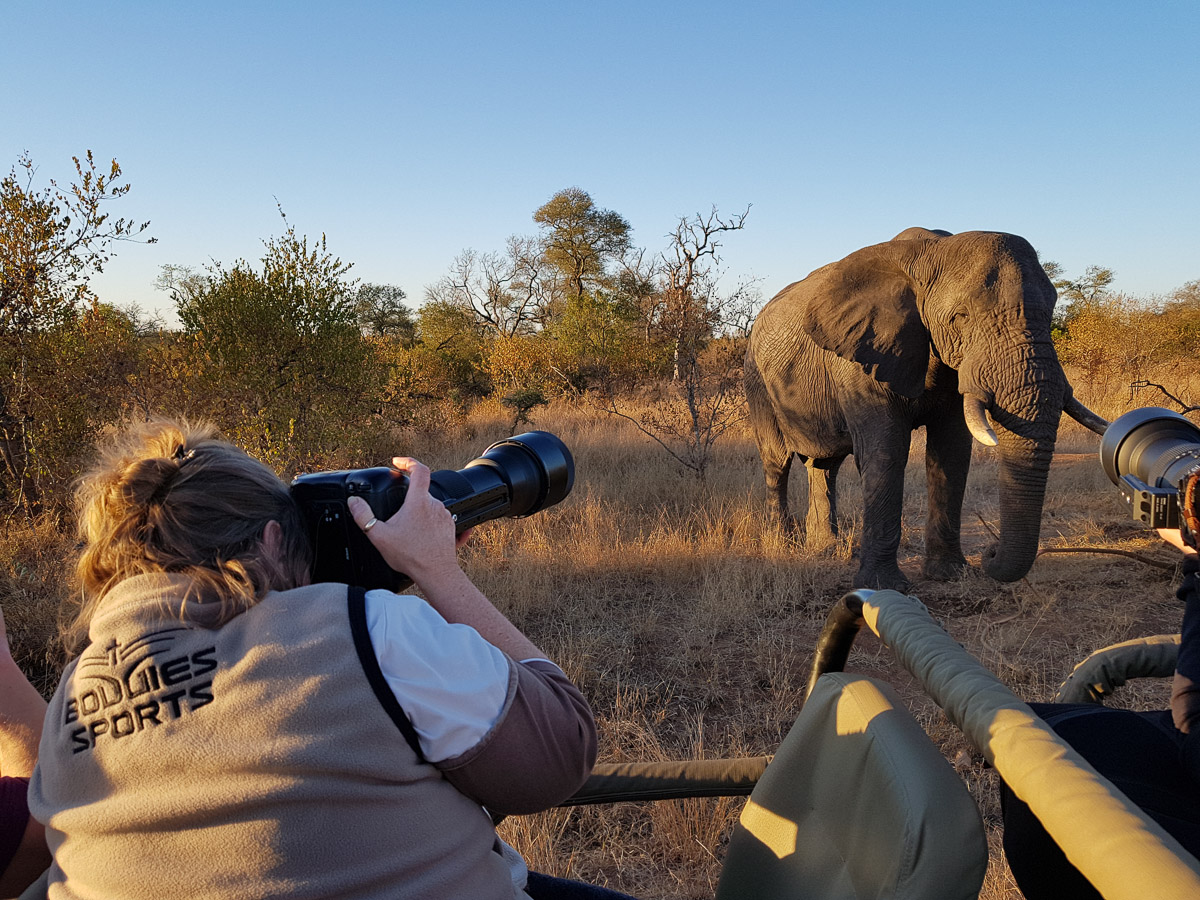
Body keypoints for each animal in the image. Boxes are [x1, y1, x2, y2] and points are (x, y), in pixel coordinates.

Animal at [744, 225, 1108, 592]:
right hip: (757, 381)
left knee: (825, 465)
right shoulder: (859, 361)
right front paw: (883, 587)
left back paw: (826, 550)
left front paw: (949, 574)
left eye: (1051, 312)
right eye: (960, 317)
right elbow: (885, 453)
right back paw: (783, 546)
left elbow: (951, 452)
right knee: (777, 461)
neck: (932, 252)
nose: (990, 553)